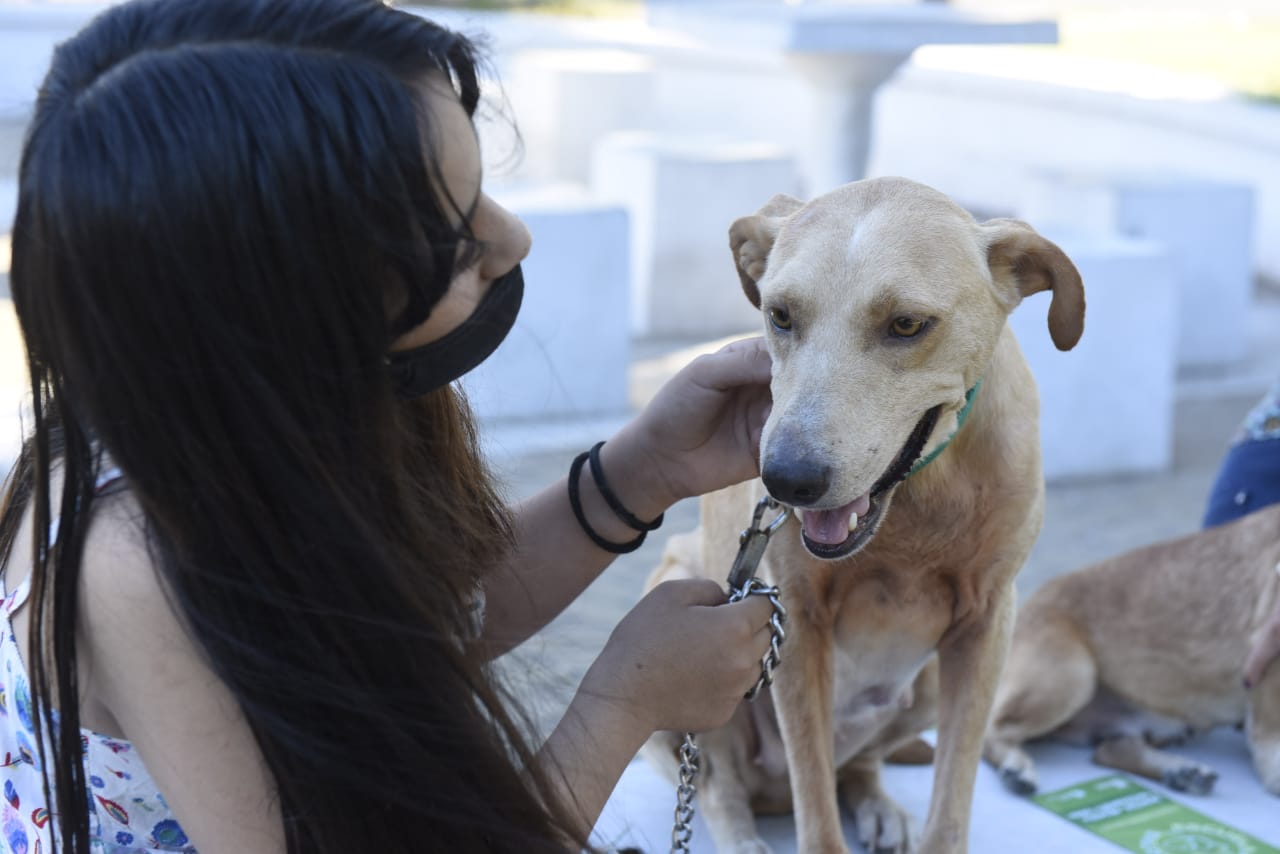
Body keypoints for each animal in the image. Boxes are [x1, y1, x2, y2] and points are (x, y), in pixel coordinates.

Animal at [640, 176, 1080, 850]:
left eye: (907, 324)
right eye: (780, 315)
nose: (787, 480)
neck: (915, 504)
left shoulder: (987, 623)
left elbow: (951, 804)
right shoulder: (796, 623)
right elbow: (816, 813)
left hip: (924, 684)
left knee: (856, 766)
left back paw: (878, 804)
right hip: (692, 625)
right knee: (718, 785)